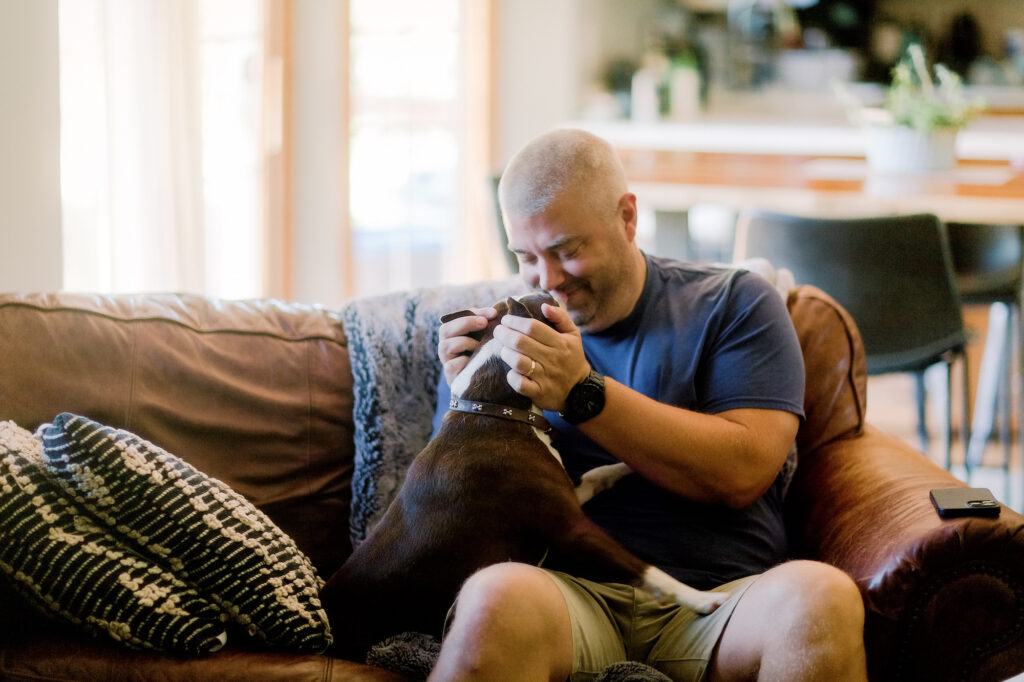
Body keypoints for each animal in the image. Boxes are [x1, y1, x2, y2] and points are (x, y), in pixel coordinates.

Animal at [321, 292, 729, 659]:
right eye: (547, 303)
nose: (553, 292)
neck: (494, 410)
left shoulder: (572, 494)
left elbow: (601, 472)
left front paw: (637, 462)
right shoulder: (573, 530)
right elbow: (646, 571)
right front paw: (701, 599)